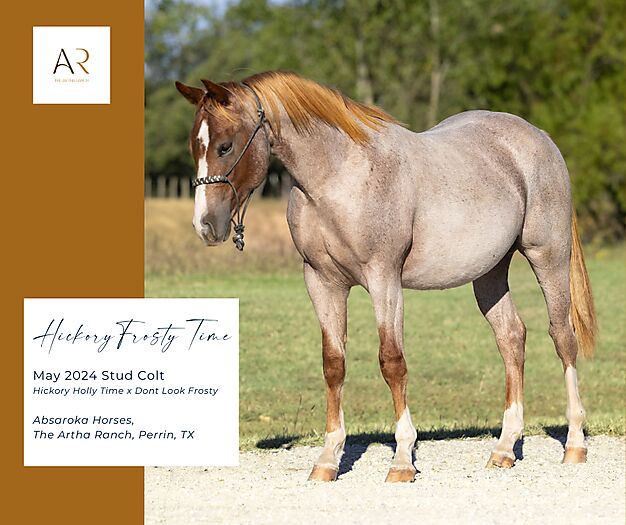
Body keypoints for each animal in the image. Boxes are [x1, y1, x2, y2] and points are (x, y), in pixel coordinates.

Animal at [175, 71, 597, 483]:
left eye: (225, 146)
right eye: (196, 148)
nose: (205, 226)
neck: (339, 178)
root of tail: (539, 138)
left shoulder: (384, 279)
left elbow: (392, 362)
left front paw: (402, 460)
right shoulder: (322, 283)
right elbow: (334, 364)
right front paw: (328, 459)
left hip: (548, 257)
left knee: (562, 338)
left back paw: (575, 444)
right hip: (490, 273)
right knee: (511, 337)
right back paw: (505, 449)